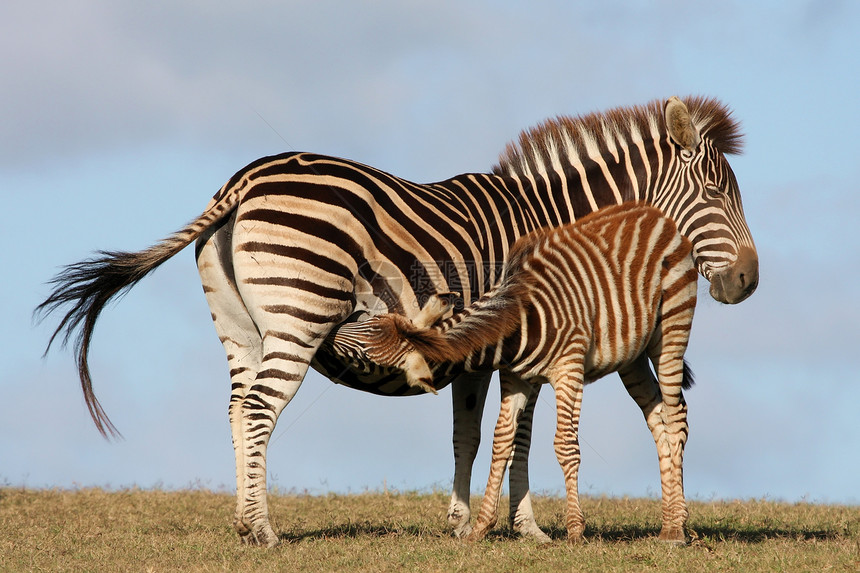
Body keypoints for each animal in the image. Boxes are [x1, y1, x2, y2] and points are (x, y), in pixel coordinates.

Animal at [326, 203, 704, 544]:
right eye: (366, 321)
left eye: (366, 354)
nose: (328, 334)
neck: (519, 321)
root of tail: (654, 214)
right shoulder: (514, 377)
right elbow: (501, 441)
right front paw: (481, 527)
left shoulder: (569, 369)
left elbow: (565, 444)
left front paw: (575, 530)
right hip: (633, 357)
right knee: (658, 420)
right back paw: (669, 523)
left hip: (671, 330)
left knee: (676, 418)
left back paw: (676, 530)